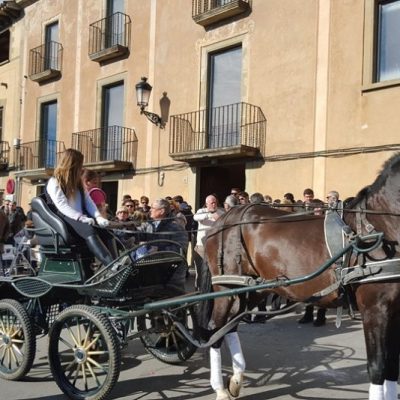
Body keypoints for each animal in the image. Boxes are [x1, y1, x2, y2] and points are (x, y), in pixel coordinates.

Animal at [205, 153, 400, 400]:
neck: (381, 226)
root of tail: (223, 219)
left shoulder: (395, 312)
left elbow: (392, 366)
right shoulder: (375, 309)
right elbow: (378, 367)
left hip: (253, 289)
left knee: (230, 326)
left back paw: (236, 379)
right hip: (226, 289)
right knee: (215, 329)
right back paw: (220, 388)